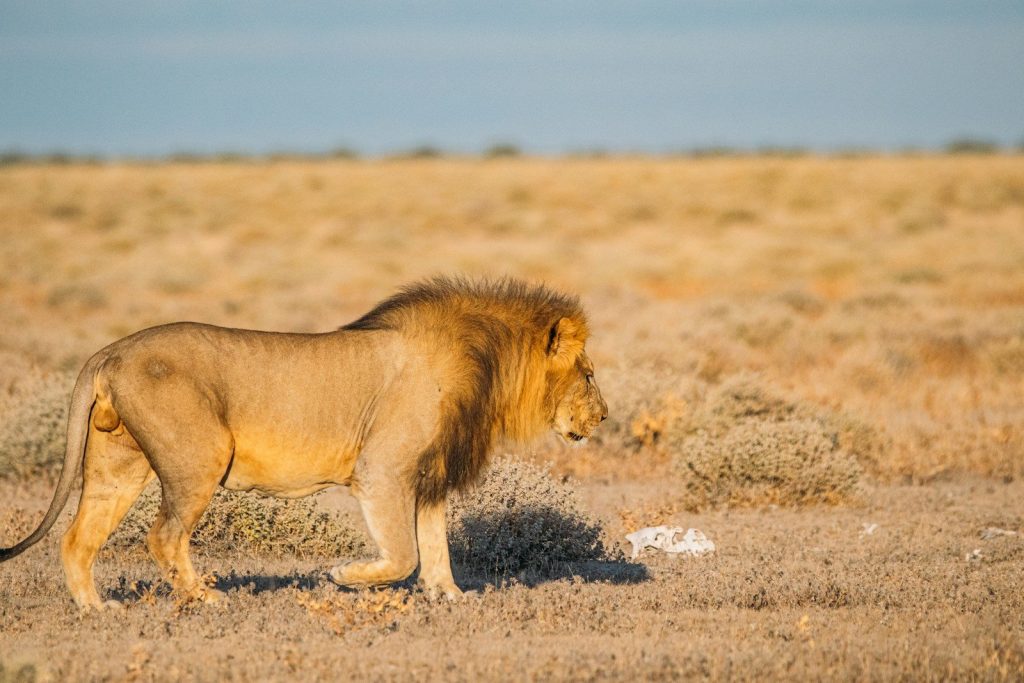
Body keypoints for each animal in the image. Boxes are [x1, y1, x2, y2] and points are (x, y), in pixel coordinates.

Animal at [0, 276, 607, 608]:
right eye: (590, 375)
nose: (603, 416)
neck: (488, 365)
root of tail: (111, 350)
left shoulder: (430, 471)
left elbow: (435, 545)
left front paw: (451, 597)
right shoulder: (383, 469)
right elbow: (403, 553)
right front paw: (343, 577)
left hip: (117, 465)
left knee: (77, 539)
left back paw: (97, 609)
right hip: (200, 458)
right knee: (164, 535)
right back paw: (205, 598)